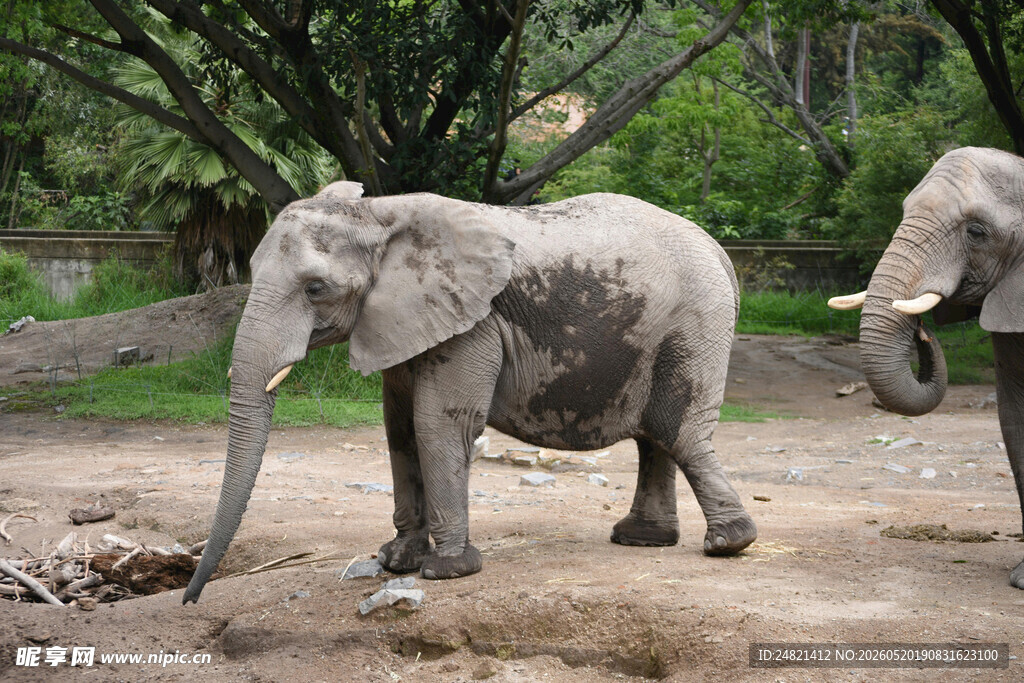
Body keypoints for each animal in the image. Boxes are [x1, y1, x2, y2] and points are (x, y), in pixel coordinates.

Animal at [182, 181, 757, 604]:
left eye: (315, 288)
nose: (190, 598)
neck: (376, 215)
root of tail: (719, 251)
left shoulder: (472, 322)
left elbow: (438, 424)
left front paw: (447, 570)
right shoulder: (402, 319)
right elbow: (399, 428)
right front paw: (394, 560)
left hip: (694, 324)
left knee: (679, 431)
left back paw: (728, 543)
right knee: (654, 437)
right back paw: (643, 539)